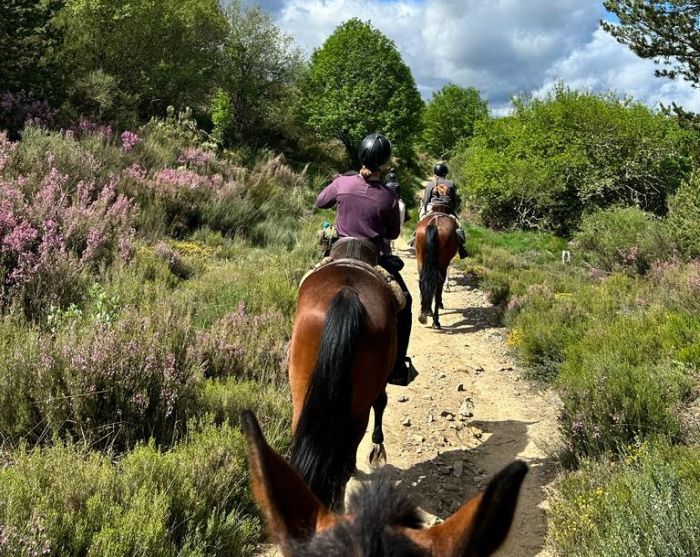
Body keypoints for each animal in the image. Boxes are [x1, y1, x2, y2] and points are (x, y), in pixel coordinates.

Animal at [288, 245, 402, 510]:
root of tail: (347, 293)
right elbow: (381, 403)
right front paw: (377, 449)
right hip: (357, 409)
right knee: (347, 447)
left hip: (301, 392)